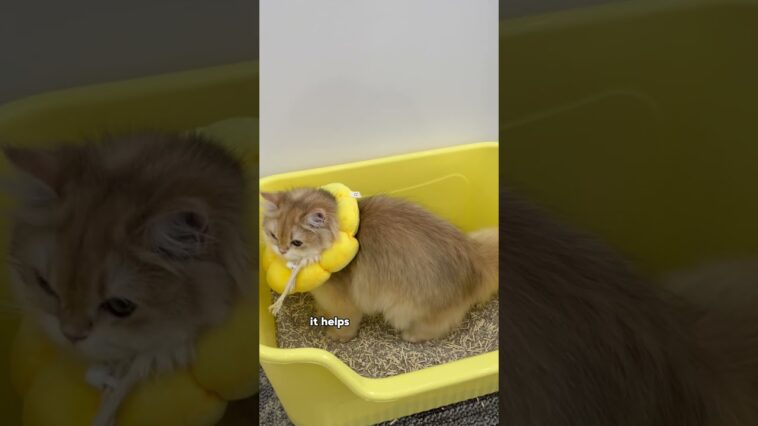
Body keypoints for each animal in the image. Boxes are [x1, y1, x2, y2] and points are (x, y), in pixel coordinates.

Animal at [261, 187, 498, 343]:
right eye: (274, 235)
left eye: (296, 242)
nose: (281, 250)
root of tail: (473, 257)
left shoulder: (346, 305)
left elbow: (347, 322)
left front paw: (337, 336)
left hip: (404, 310)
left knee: (435, 328)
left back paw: (411, 336)